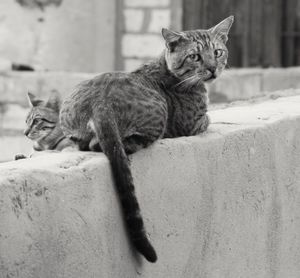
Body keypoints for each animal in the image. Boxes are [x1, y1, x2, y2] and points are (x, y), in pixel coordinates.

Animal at [59, 15, 234, 262]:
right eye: (195, 56)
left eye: (218, 52)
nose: (212, 69)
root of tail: (100, 101)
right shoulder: (191, 123)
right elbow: (208, 119)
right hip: (157, 118)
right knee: (106, 144)